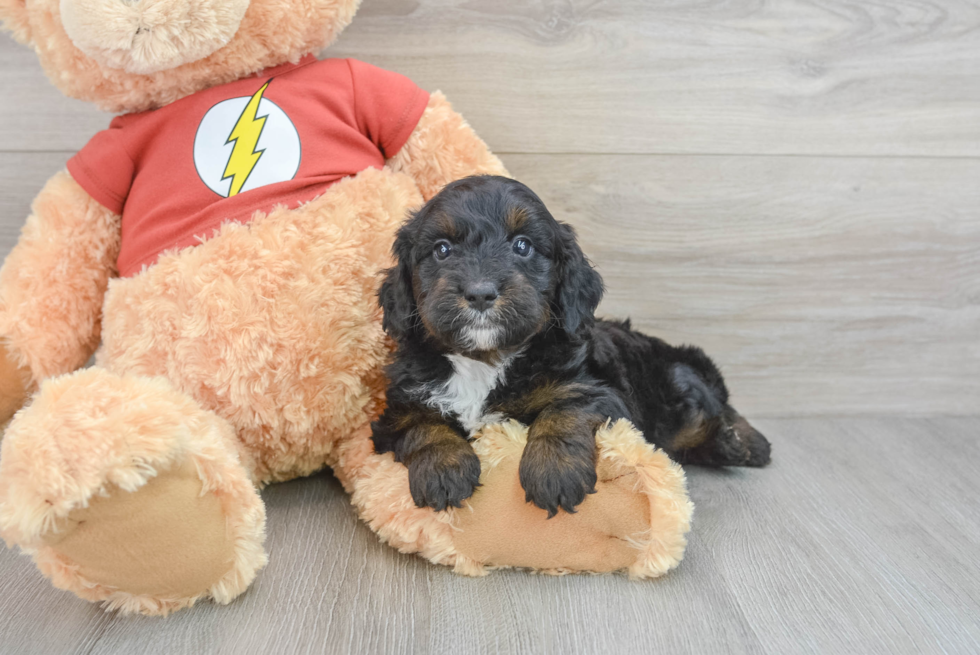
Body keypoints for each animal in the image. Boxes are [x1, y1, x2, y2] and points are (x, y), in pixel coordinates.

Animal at [372, 176, 768, 516]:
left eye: (523, 245)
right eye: (442, 249)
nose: (480, 292)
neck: (485, 360)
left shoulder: (599, 391)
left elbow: (565, 411)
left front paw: (554, 472)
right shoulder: (400, 404)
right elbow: (422, 424)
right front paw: (443, 469)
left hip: (678, 382)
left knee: (712, 408)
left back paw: (744, 442)